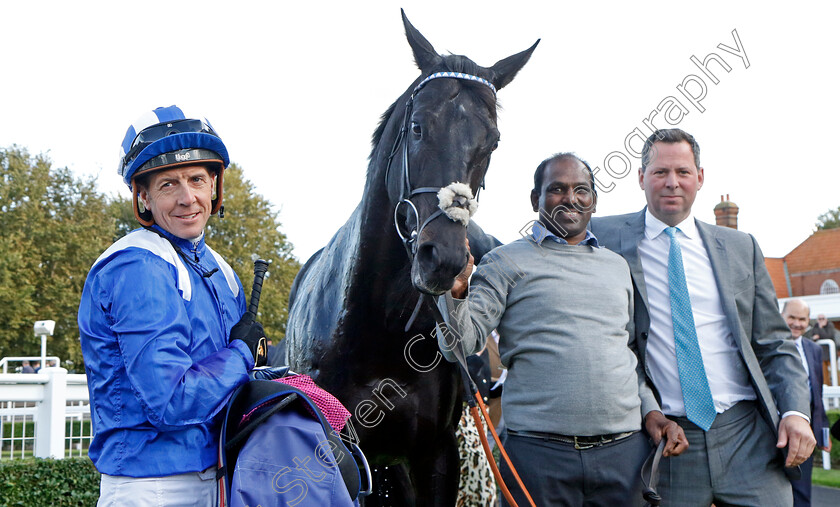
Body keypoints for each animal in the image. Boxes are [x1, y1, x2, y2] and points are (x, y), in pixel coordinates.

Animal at [278, 11, 536, 507]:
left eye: (492, 143)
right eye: (418, 126)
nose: (444, 257)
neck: (379, 327)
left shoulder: (434, 452)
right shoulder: (346, 453)